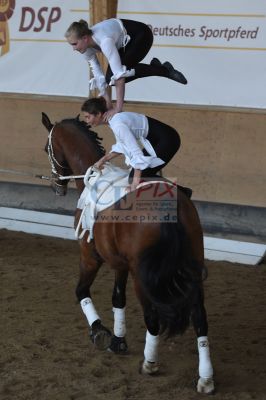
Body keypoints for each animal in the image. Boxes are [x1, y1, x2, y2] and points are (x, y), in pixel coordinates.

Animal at [42, 112, 216, 394]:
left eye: (46, 149)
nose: (57, 186)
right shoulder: (120, 263)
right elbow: (117, 299)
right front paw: (118, 340)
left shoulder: (90, 256)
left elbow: (81, 291)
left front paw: (99, 332)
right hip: (191, 265)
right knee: (200, 318)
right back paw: (206, 378)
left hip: (142, 275)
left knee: (153, 318)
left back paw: (150, 363)